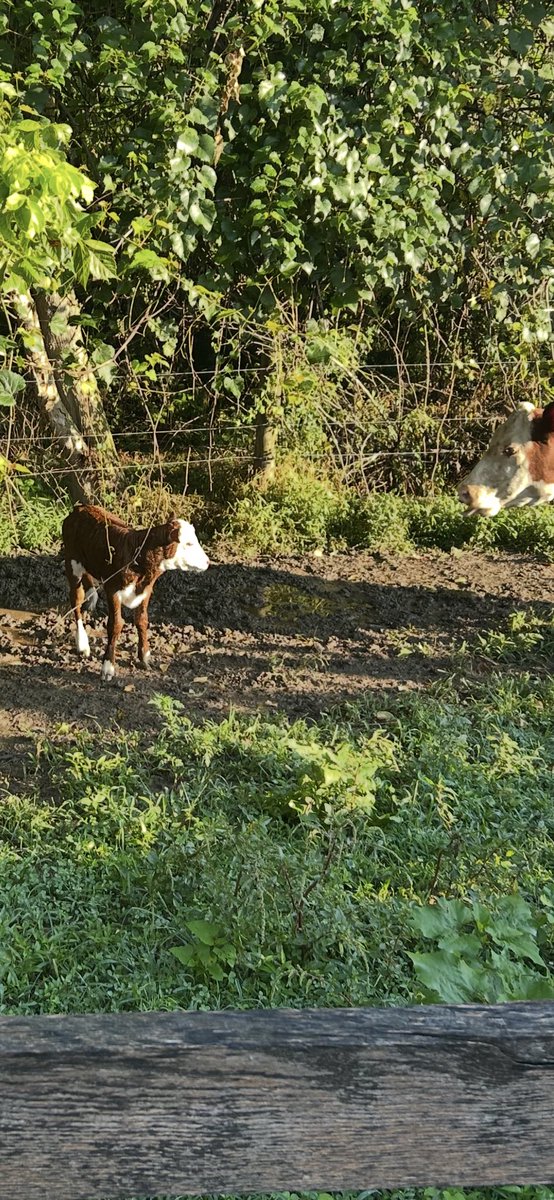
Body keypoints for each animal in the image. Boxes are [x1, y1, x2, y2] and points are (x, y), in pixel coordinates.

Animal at [62, 504, 209, 681]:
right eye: (189, 544)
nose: (207, 562)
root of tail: (80, 508)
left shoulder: (146, 590)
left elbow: (142, 620)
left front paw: (144, 657)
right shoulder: (113, 589)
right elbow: (115, 624)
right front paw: (108, 667)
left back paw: (92, 598)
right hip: (72, 563)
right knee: (76, 602)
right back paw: (82, 644)